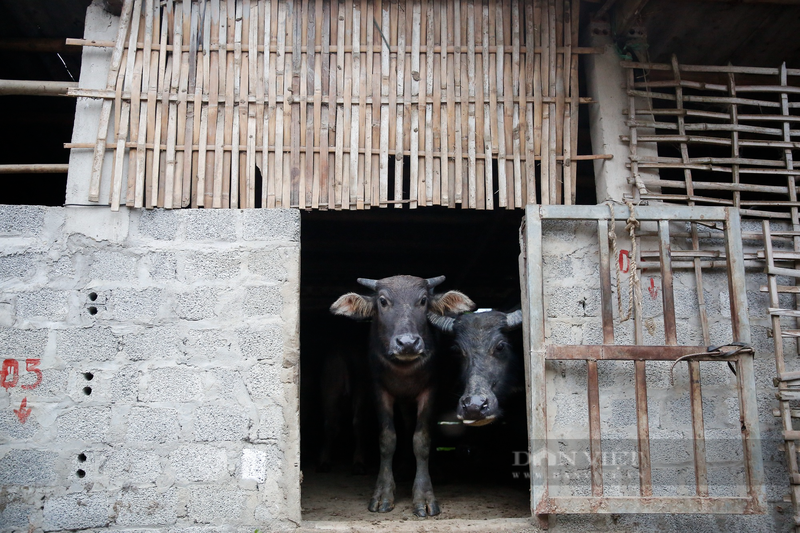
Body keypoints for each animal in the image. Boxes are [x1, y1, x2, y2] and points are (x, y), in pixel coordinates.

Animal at [328, 274, 472, 516]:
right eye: (383, 301)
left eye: (423, 300)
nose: (407, 343)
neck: (404, 369)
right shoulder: (379, 391)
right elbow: (388, 439)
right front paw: (382, 495)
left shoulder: (430, 391)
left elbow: (422, 439)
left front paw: (424, 496)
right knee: (405, 424)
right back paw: (404, 467)